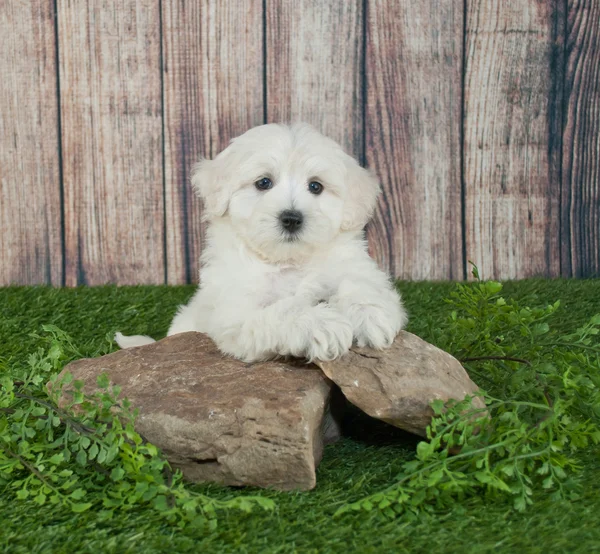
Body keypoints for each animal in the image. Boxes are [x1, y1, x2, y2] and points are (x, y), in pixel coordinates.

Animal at [116, 123, 408, 360]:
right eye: (263, 182)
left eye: (315, 186)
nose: (291, 218)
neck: (287, 261)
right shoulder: (236, 312)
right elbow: (283, 311)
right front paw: (322, 325)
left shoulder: (349, 262)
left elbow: (361, 283)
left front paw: (371, 314)